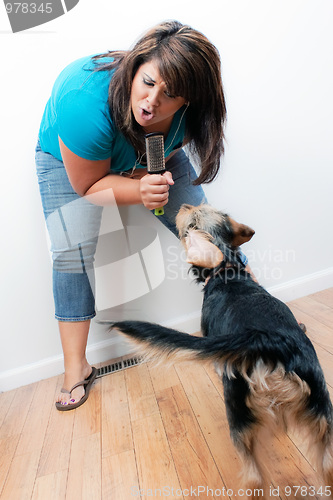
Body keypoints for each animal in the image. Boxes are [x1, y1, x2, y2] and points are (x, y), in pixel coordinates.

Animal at [111, 204, 332, 492]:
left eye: (191, 224)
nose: (184, 205)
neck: (226, 270)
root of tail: (270, 340)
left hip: (237, 412)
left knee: (254, 477)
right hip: (322, 409)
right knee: (327, 467)